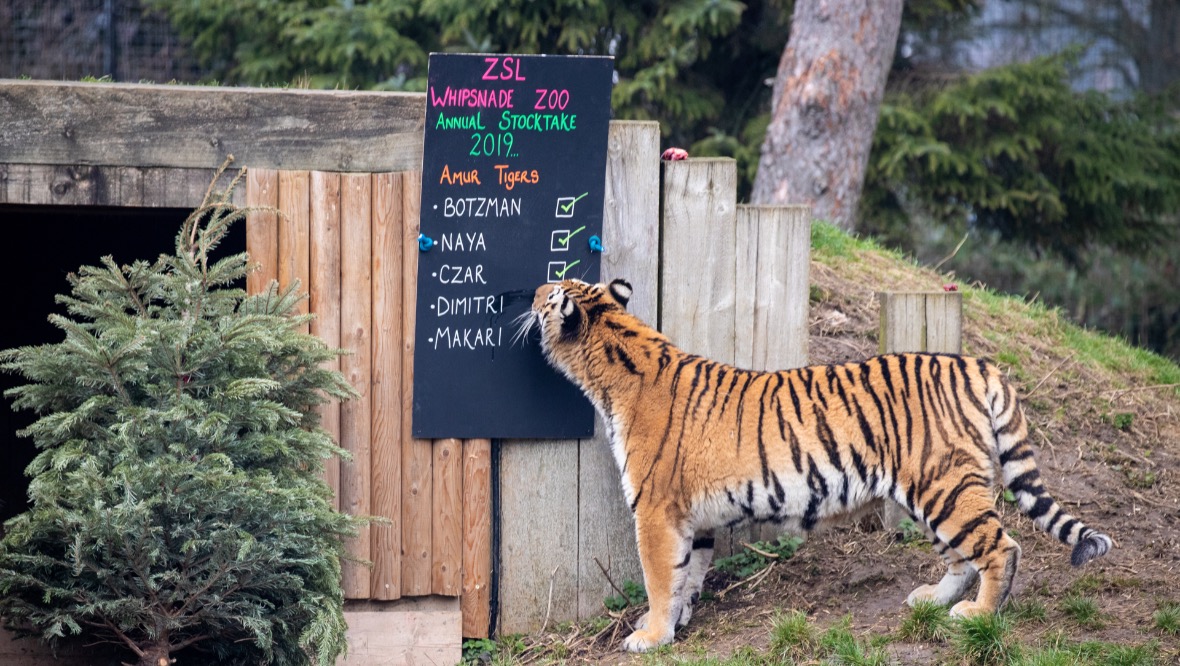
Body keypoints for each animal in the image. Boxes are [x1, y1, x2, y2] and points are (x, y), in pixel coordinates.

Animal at [519, 277, 1113, 651]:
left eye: (552, 291)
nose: (532, 292)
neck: (618, 354)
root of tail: (977, 363)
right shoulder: (693, 517)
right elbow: (688, 574)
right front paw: (674, 623)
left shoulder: (655, 510)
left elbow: (661, 577)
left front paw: (649, 635)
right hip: (934, 492)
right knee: (962, 555)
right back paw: (930, 600)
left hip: (944, 487)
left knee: (1000, 547)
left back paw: (978, 617)